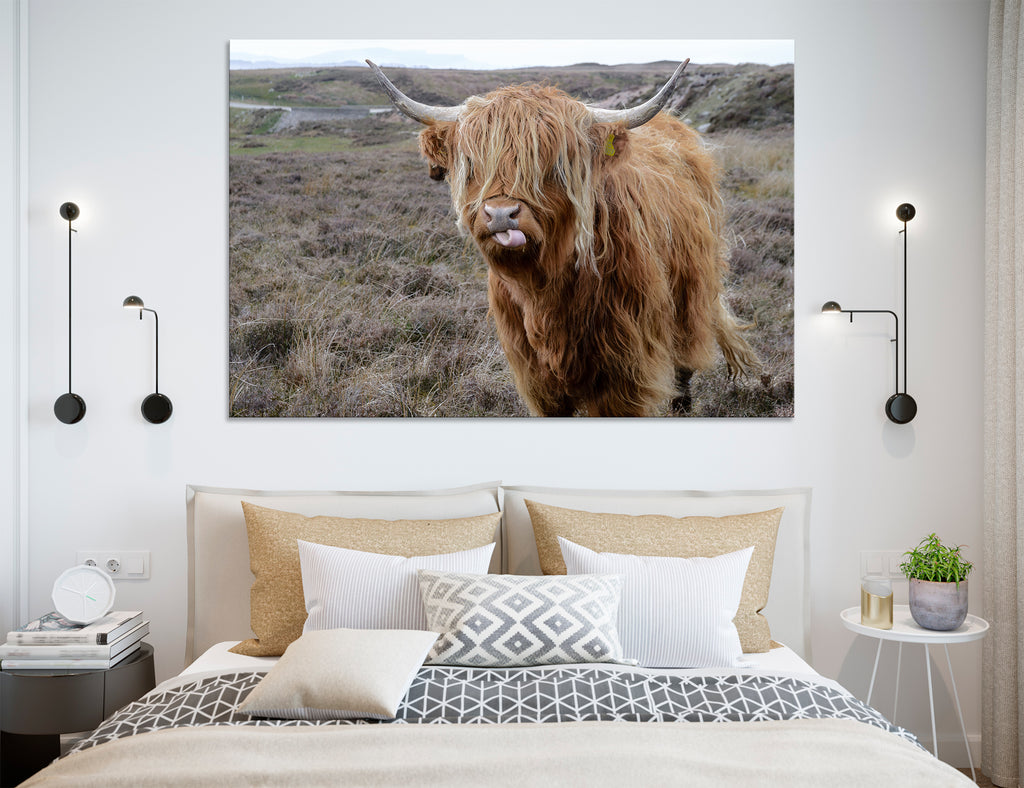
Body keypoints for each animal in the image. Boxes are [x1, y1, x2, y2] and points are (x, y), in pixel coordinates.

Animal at [367, 59, 758, 417]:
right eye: (472, 163)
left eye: (553, 164)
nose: (501, 215)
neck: (545, 290)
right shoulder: (535, 376)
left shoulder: (623, 373)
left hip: (691, 294)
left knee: (684, 363)